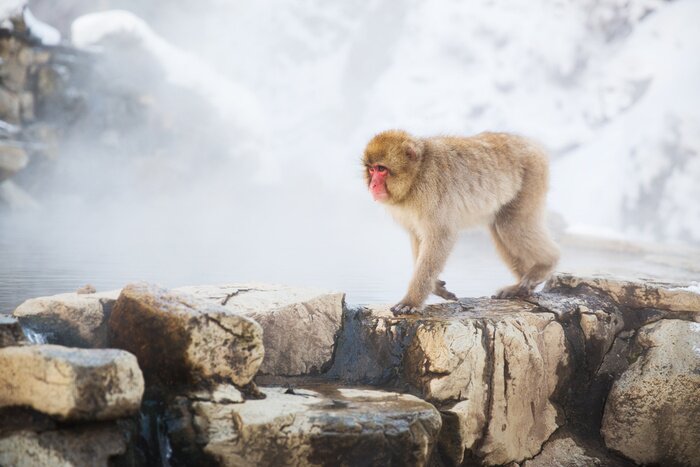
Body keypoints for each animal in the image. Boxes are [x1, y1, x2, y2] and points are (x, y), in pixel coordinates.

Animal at [362, 130, 560, 315]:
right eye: (371, 169)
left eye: (381, 169)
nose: (372, 185)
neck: (417, 175)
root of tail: (532, 144)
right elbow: (418, 236)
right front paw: (435, 287)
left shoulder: (431, 192)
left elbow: (440, 237)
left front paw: (411, 301)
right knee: (499, 226)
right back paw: (521, 287)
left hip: (532, 177)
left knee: (510, 225)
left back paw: (545, 265)